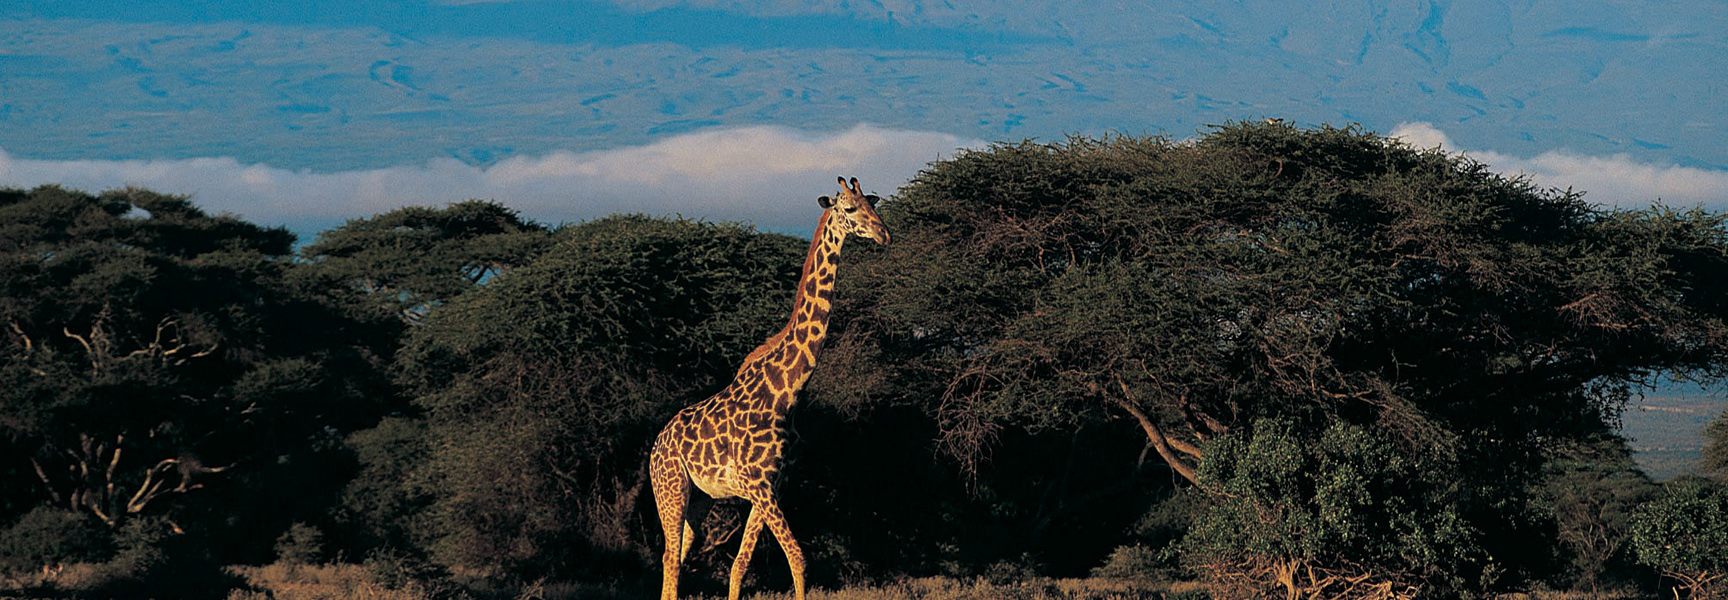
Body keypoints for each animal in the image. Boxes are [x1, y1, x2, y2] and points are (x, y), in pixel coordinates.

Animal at [649, 176, 890, 600]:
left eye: (871, 204)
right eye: (849, 208)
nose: (883, 234)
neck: (786, 392)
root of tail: (655, 447)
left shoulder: (774, 485)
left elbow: (740, 567)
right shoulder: (759, 486)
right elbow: (798, 559)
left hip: (699, 499)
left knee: (675, 558)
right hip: (670, 489)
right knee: (669, 561)